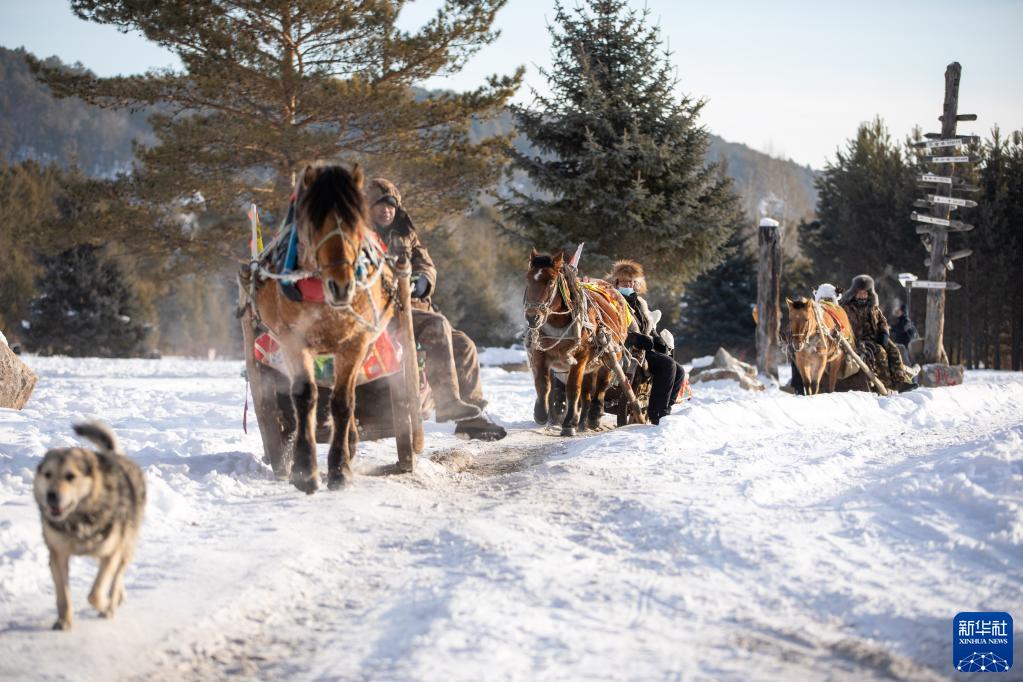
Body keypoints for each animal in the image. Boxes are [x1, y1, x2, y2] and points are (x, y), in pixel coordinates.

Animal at [34, 423, 145, 633]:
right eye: (47, 475)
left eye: (70, 476)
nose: (51, 495)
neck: (78, 519)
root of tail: (116, 456)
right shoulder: (57, 555)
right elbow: (63, 595)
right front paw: (64, 621)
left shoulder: (111, 553)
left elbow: (95, 594)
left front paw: (106, 606)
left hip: (126, 545)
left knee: (117, 576)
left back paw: (113, 601)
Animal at [241, 162, 396, 492]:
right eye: (314, 223)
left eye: (356, 222)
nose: (342, 286)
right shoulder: (292, 339)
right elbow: (305, 397)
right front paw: (304, 469)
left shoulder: (356, 342)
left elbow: (343, 402)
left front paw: (340, 468)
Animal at [527, 250, 630, 437]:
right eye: (528, 279)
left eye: (550, 282)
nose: (532, 317)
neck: (558, 323)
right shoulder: (540, 353)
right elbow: (542, 383)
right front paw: (541, 413)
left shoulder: (580, 358)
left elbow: (573, 389)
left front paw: (568, 424)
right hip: (591, 365)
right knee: (587, 392)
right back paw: (582, 420)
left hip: (610, 355)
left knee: (601, 385)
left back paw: (594, 416)